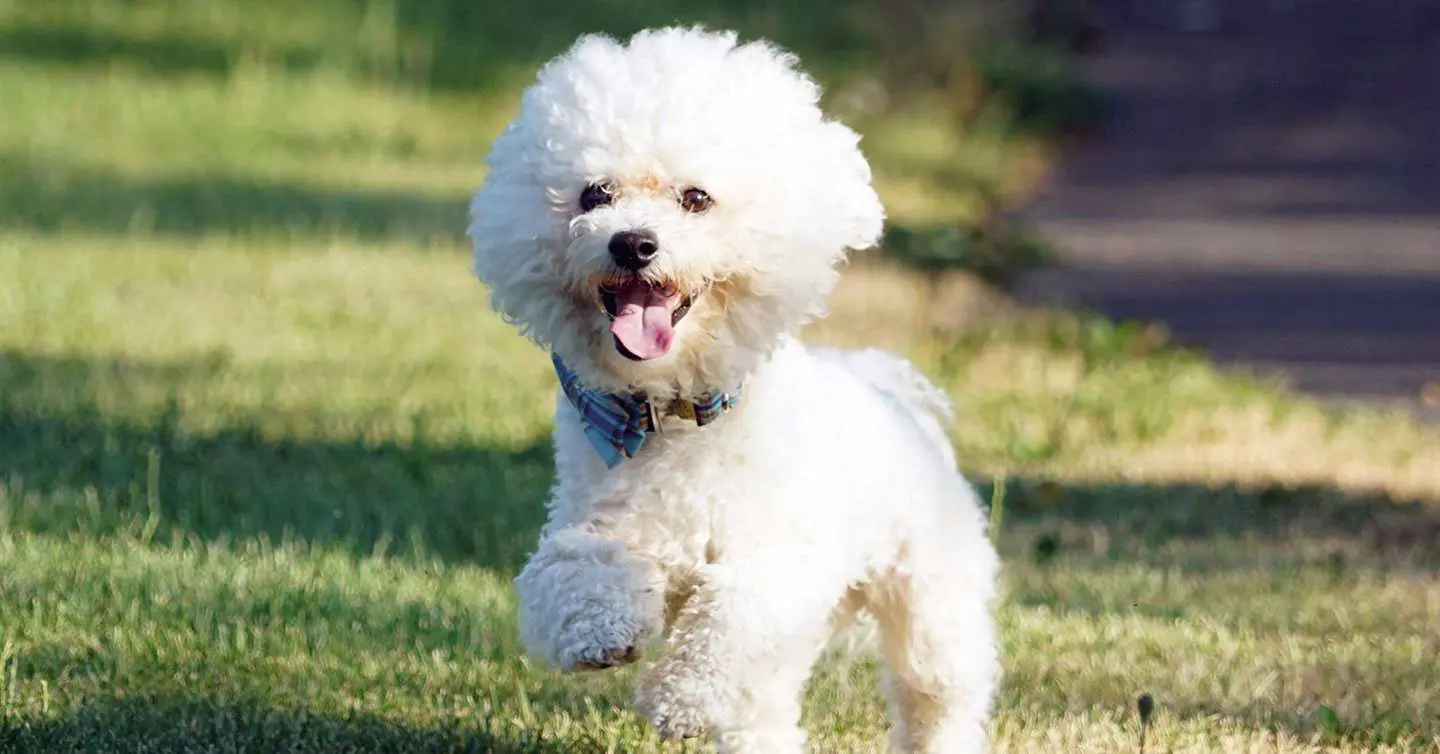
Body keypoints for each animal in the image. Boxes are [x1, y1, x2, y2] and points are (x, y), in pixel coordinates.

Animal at [472, 26, 1002, 748]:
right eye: (594, 194)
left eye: (696, 198)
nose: (632, 243)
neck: (675, 413)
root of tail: (888, 387)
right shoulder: (594, 521)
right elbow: (574, 569)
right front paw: (604, 631)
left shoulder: (782, 562)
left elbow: (730, 617)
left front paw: (680, 698)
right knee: (766, 709)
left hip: (931, 597)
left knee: (935, 691)